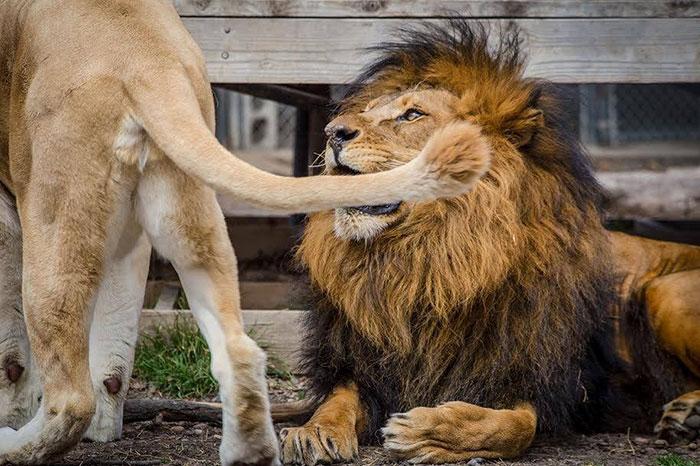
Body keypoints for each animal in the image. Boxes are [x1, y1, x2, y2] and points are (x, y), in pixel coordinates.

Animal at [0, 2, 487, 464]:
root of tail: (144, 56)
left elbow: (13, 355)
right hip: (191, 220)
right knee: (240, 352)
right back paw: (248, 453)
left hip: (54, 215)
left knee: (70, 395)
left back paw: (13, 445)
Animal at [280, 21, 700, 464]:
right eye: (367, 111)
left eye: (412, 114)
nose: (332, 133)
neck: (426, 261)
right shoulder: (358, 364)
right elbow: (337, 399)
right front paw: (313, 432)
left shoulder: (544, 381)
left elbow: (513, 427)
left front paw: (430, 433)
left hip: (665, 292)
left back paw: (688, 413)